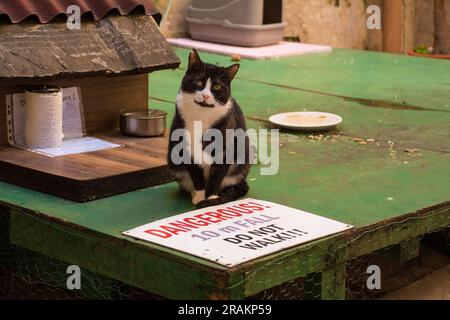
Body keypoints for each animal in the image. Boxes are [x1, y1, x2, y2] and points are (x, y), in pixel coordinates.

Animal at [169, 48, 251, 209]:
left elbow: (217, 175)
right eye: (198, 81)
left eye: (217, 86)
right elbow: (196, 176)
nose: (206, 96)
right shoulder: (185, 148)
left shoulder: (225, 149)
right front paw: (200, 196)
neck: (201, 116)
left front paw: (212, 198)